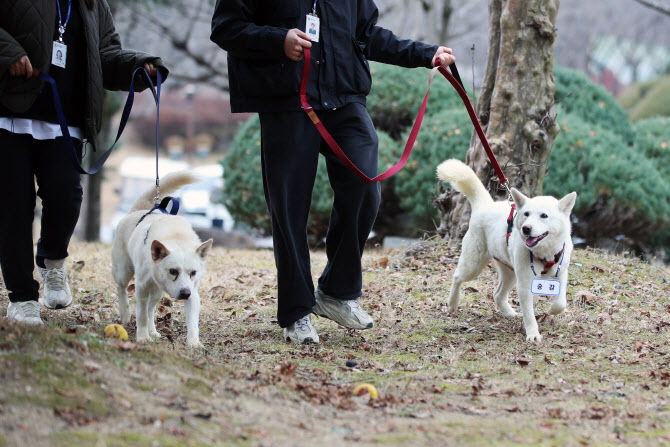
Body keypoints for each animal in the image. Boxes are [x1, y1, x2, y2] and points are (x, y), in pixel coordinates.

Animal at [111, 172, 214, 350]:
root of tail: (139, 210)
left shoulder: (193, 294)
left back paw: (152, 331)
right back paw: (125, 314)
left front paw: (194, 343)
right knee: (122, 289)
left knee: (150, 310)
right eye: (173, 271)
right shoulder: (141, 288)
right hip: (123, 271)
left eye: (193, 272)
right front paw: (142, 338)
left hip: (157, 293)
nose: (185, 293)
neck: (176, 236)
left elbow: (193, 323)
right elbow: (141, 316)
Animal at [438, 161, 580, 344]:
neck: (544, 252)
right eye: (526, 214)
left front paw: (552, 311)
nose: (526, 228)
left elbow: (561, 302)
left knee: (497, 294)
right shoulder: (525, 284)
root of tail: (485, 205)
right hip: (474, 265)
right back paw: (452, 303)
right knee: (457, 276)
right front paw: (533, 334)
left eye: (544, 215)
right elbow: (529, 314)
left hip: (510, 272)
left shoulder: (561, 273)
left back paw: (510, 313)